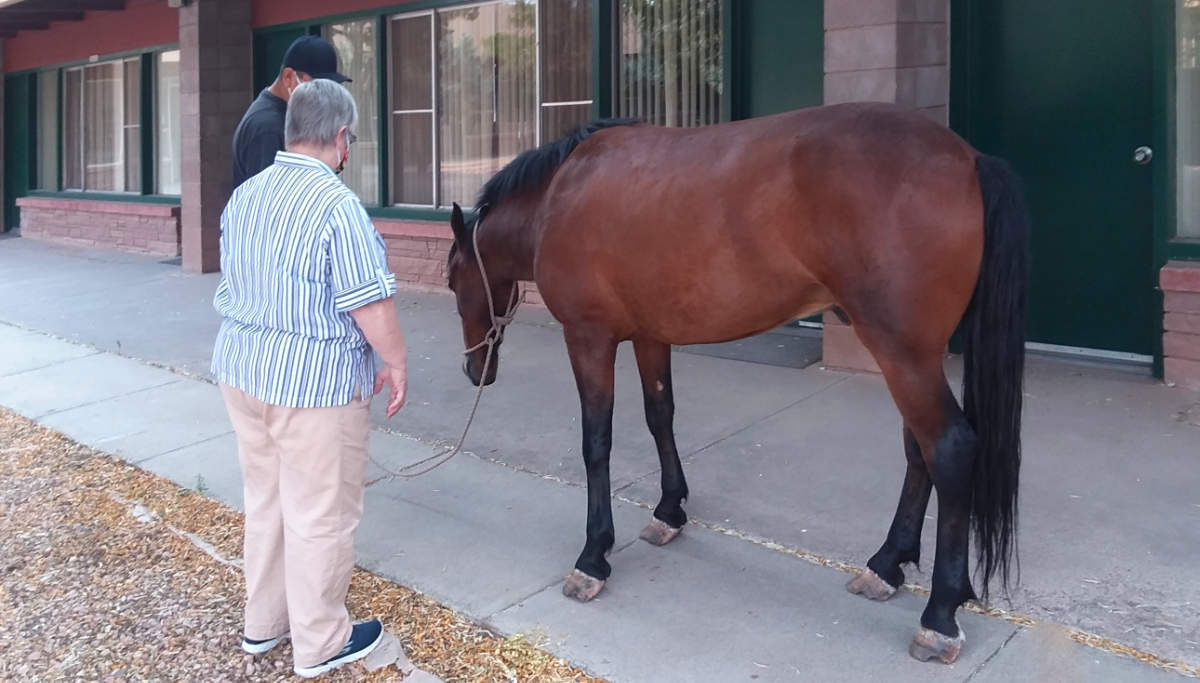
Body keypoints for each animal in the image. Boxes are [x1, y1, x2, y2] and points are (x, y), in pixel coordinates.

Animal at [446, 101, 1027, 662]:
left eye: (453, 279)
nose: (475, 369)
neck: (559, 199)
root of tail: (968, 159)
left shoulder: (589, 339)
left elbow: (597, 443)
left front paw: (593, 557)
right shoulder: (650, 335)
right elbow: (660, 416)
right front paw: (669, 511)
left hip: (903, 355)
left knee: (948, 448)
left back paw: (939, 616)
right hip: (910, 357)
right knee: (918, 451)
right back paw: (886, 565)